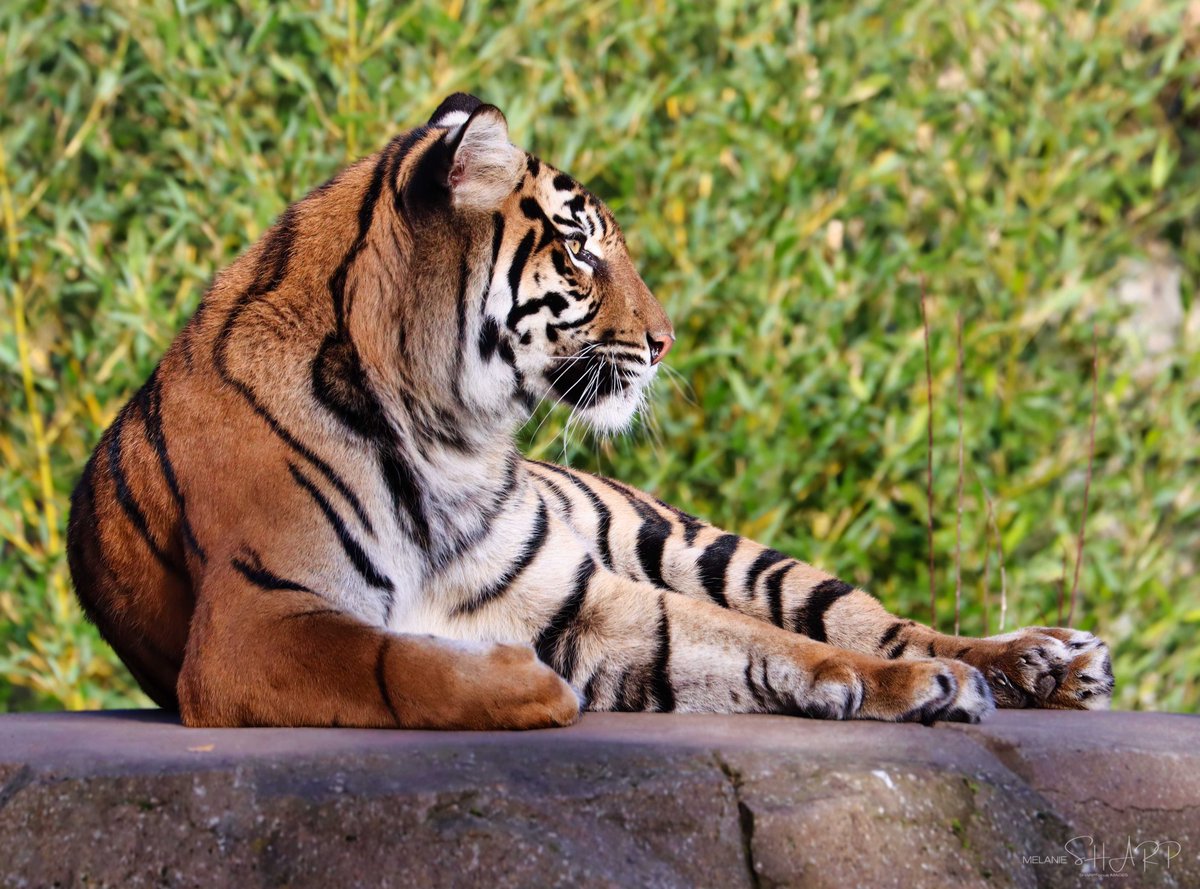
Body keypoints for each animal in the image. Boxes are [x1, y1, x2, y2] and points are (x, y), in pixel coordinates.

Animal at [66, 93, 1114, 730]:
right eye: (580, 251)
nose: (668, 338)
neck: (443, 439)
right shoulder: (257, 619)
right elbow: (394, 660)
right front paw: (525, 685)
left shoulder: (575, 591)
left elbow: (756, 638)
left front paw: (915, 686)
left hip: (713, 547)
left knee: (867, 616)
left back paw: (1042, 660)